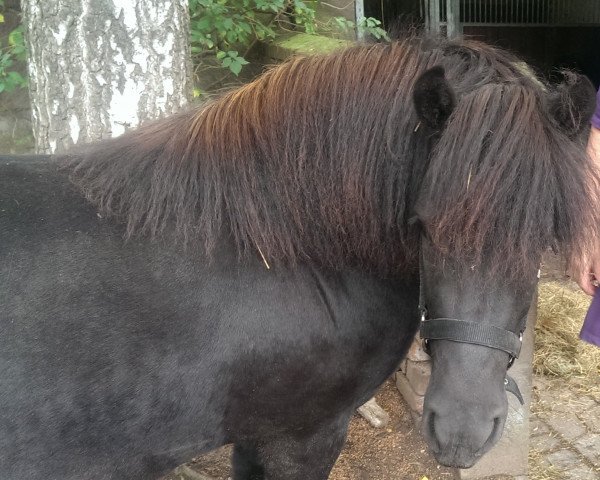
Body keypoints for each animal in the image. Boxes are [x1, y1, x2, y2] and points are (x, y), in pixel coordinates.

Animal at [0, 35, 596, 478]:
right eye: (424, 225)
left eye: (545, 235)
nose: (461, 430)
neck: (283, 243)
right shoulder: (301, 436)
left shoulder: (256, 438)